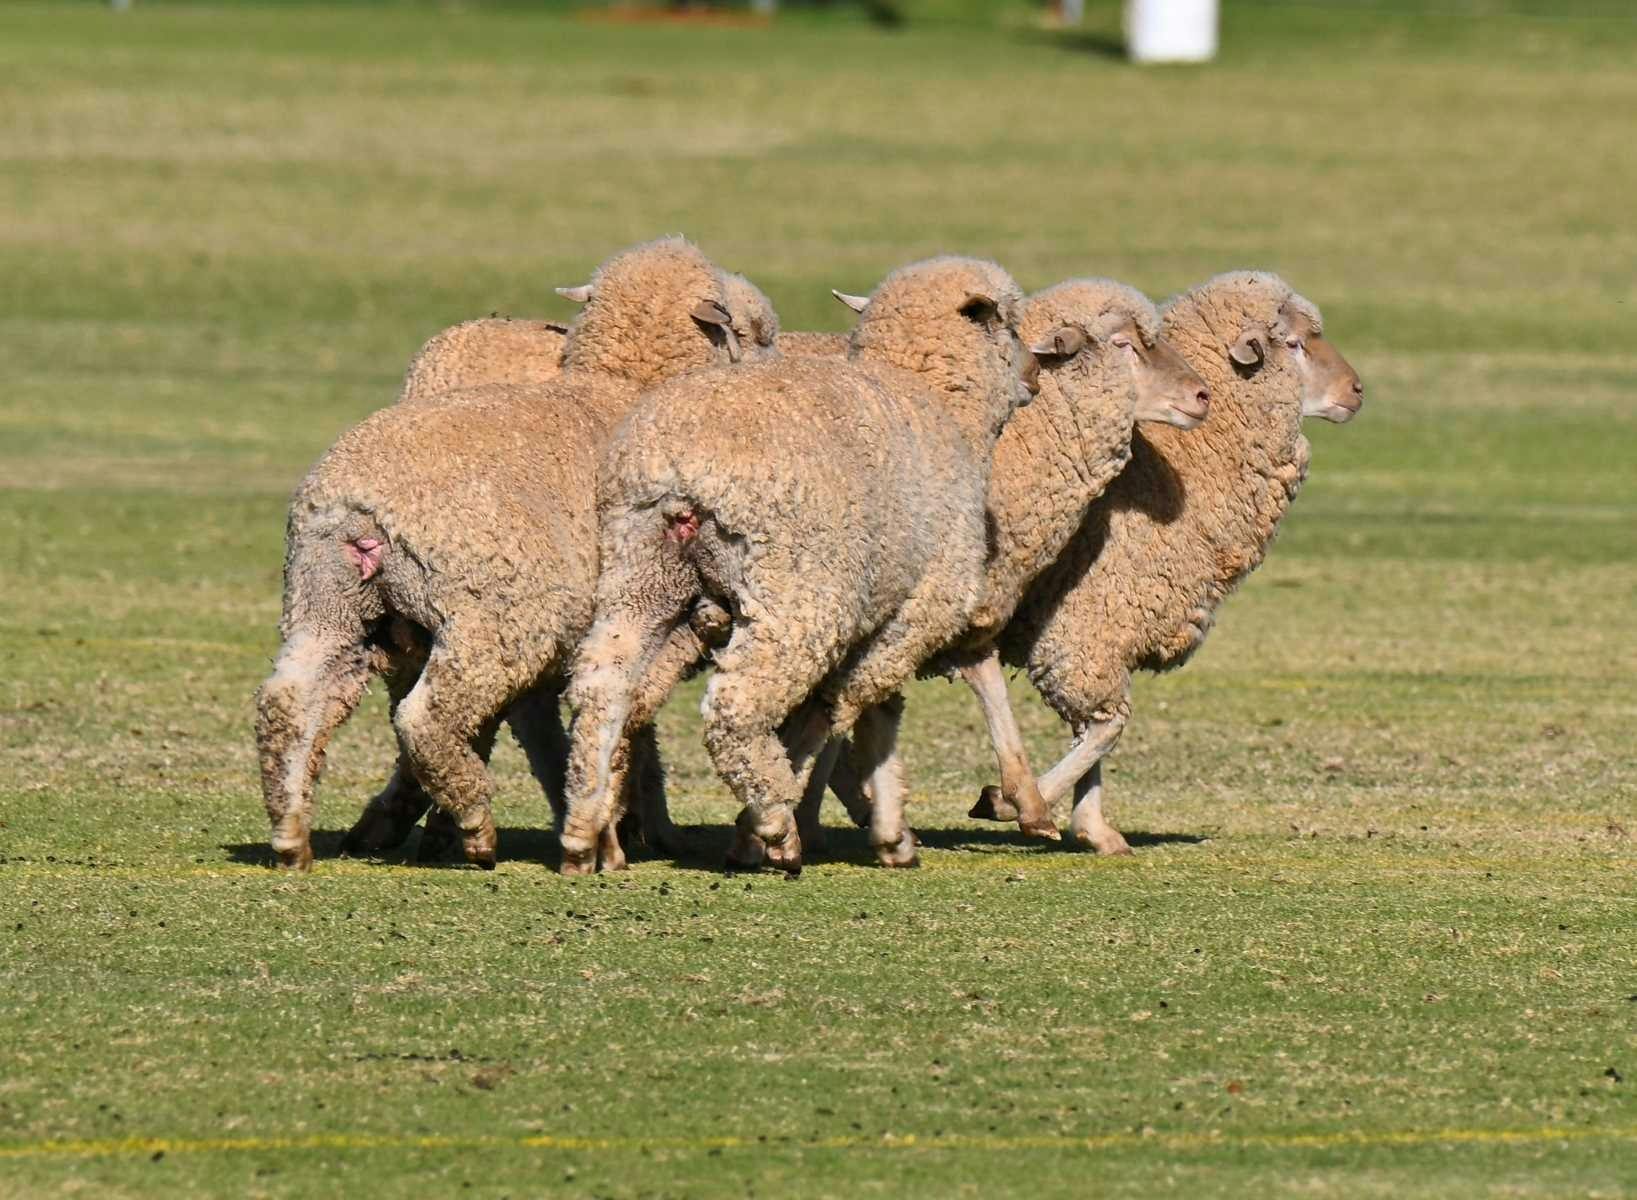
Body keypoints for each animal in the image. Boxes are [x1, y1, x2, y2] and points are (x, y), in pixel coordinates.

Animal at [254, 236, 772, 871]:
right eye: (753, 333)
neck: (619, 386)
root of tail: (360, 505)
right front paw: (610, 834)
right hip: (495, 619)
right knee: (426, 716)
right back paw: (475, 823)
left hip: (323, 597)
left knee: (288, 700)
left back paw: (292, 836)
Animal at [558, 256, 1035, 875]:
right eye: (1011, 327)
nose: (1036, 369)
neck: (934, 399)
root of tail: (679, 467)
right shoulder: (917, 611)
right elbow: (840, 709)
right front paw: (774, 828)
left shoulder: (881, 617)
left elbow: (871, 711)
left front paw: (891, 833)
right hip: (798, 596)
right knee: (736, 705)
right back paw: (775, 825)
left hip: (639, 570)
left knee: (603, 684)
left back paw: (583, 828)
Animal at [967, 271, 1364, 852]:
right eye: (1292, 343)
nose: (1357, 391)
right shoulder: (1088, 623)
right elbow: (1107, 725)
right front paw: (1021, 804)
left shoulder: (1096, 628)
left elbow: (1094, 728)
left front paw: (1093, 828)